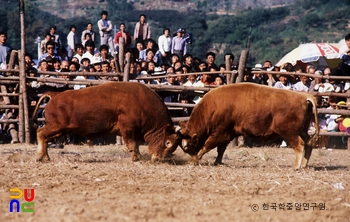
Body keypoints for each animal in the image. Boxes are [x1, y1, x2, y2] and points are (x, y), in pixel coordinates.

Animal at [32, 82, 180, 162]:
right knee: (40, 133)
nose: (158, 158)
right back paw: (40, 156)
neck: (143, 102)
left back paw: (45, 157)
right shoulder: (128, 128)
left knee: (45, 138)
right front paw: (136, 158)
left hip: (62, 130)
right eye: (167, 142)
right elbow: (132, 144)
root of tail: (55, 95)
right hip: (56, 127)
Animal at [178, 82, 320, 169]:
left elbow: (207, 146)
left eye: (187, 146)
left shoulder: (220, 134)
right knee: (309, 143)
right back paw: (304, 165)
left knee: (300, 145)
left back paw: (296, 166)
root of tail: (303, 96)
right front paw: (217, 162)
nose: (190, 155)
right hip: (302, 131)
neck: (213, 106)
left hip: (290, 133)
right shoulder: (228, 134)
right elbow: (221, 150)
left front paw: (194, 160)